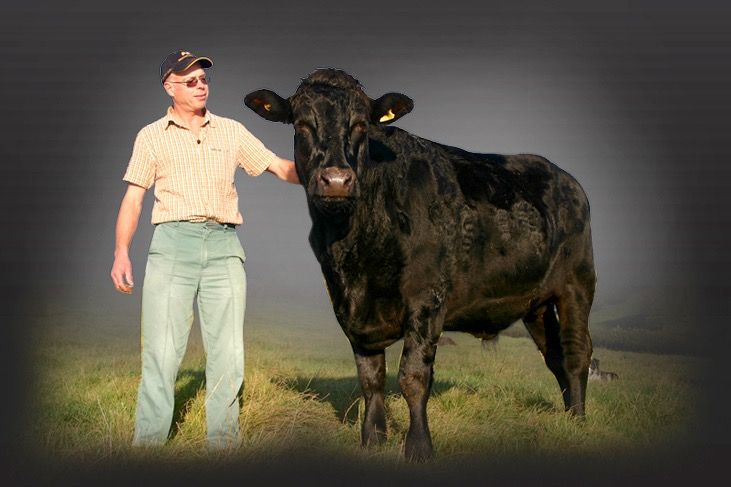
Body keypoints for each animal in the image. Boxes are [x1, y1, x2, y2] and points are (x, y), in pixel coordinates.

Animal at [245, 69, 596, 461]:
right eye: (302, 124)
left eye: (361, 125)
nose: (336, 180)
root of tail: (563, 176)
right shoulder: (349, 305)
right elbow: (370, 378)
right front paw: (372, 439)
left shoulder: (426, 297)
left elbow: (413, 377)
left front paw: (418, 446)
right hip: (535, 302)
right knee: (554, 354)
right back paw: (568, 415)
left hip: (577, 282)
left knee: (576, 352)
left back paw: (580, 422)